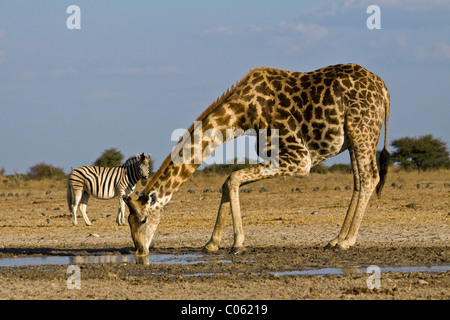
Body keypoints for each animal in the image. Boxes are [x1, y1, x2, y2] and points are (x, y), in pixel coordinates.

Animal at [124, 63, 390, 256]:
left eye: (143, 219)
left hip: (362, 130)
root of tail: (385, 91)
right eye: (127, 221)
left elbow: (232, 178)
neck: (244, 114)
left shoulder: (299, 159)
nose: (139, 250)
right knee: (359, 181)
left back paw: (348, 241)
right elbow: (228, 182)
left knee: (370, 177)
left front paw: (238, 242)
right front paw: (212, 243)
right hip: (354, 140)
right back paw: (336, 239)